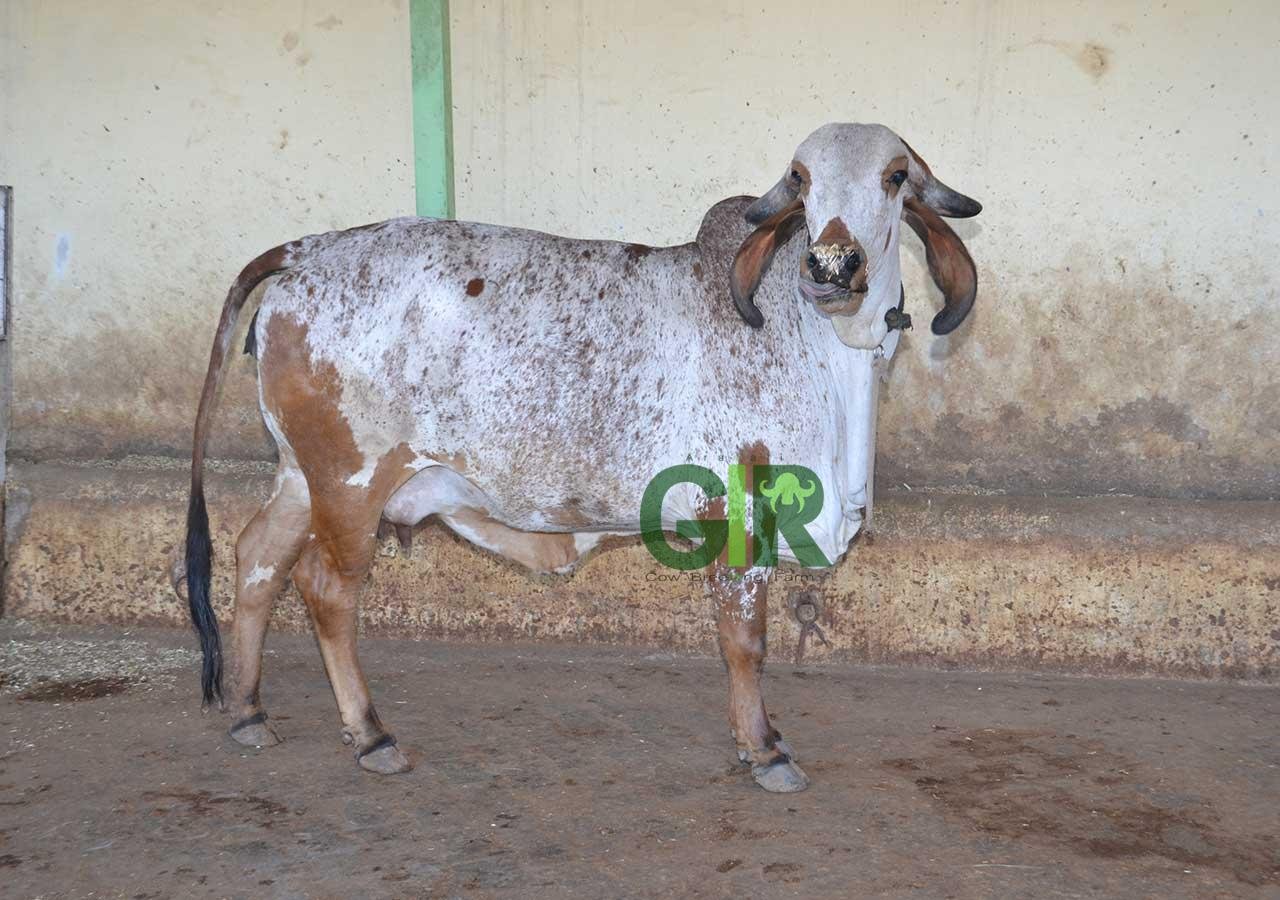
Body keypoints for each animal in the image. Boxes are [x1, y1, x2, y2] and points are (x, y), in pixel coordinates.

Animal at [182, 122, 981, 793]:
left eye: (896, 176)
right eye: (801, 179)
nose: (832, 263)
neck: (827, 350)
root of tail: (303, 252)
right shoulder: (736, 511)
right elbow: (745, 642)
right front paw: (764, 749)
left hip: (301, 475)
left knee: (257, 559)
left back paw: (248, 712)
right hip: (351, 482)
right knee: (325, 589)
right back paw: (371, 735)